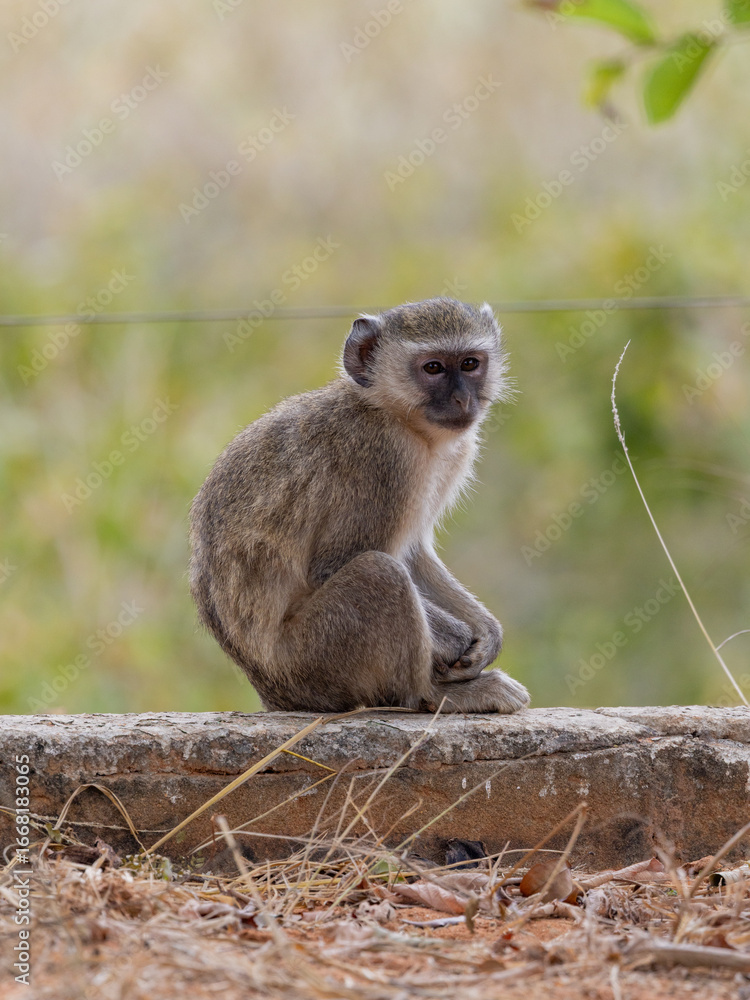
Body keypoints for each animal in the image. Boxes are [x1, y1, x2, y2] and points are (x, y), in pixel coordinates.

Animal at [189, 298, 530, 715]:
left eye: (470, 363)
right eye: (433, 368)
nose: (463, 399)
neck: (394, 415)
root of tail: (275, 692)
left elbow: (414, 553)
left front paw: (487, 633)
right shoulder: (381, 457)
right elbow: (336, 564)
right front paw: (457, 639)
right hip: (316, 660)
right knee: (378, 573)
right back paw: (432, 696)